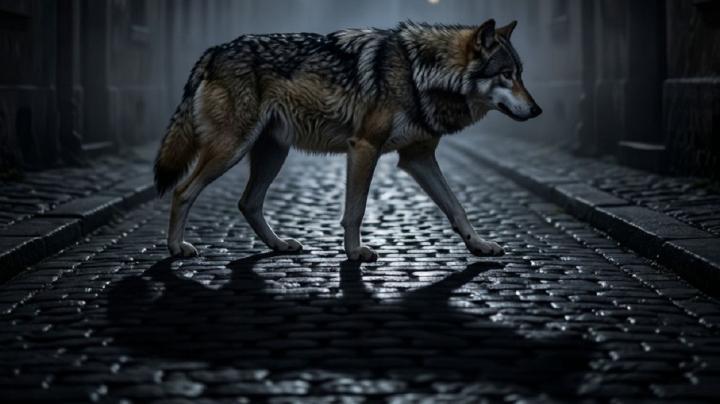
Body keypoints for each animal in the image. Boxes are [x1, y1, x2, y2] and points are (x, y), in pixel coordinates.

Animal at [154, 19, 541, 262]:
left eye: (521, 74)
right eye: (506, 74)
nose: (537, 110)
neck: (420, 74)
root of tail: (215, 49)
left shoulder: (417, 158)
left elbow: (457, 207)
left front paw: (479, 245)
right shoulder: (365, 148)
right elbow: (355, 211)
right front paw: (355, 253)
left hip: (272, 153)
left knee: (248, 203)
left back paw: (279, 245)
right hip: (231, 149)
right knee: (182, 191)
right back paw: (177, 248)